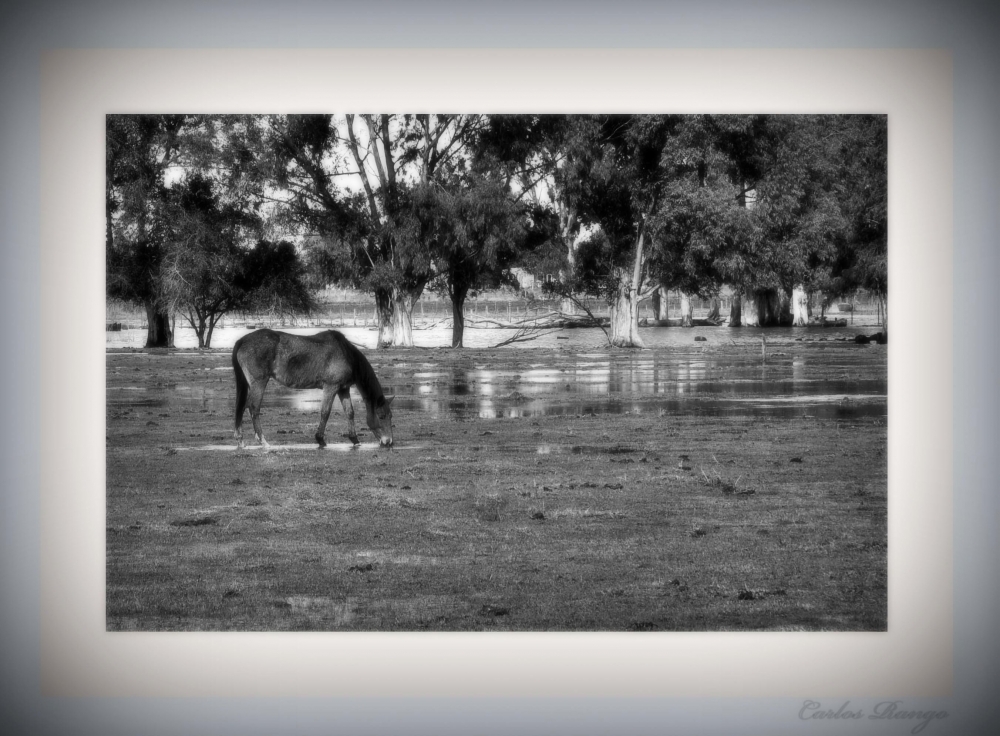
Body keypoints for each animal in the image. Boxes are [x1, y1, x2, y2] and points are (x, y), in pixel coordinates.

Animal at [232, 330, 392, 448]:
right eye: (382, 416)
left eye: (390, 416)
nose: (388, 441)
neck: (345, 353)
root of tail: (243, 340)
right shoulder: (331, 387)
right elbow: (325, 412)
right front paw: (320, 439)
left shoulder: (343, 389)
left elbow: (350, 413)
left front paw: (355, 440)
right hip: (259, 382)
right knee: (253, 408)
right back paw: (263, 441)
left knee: (243, 407)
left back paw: (241, 440)